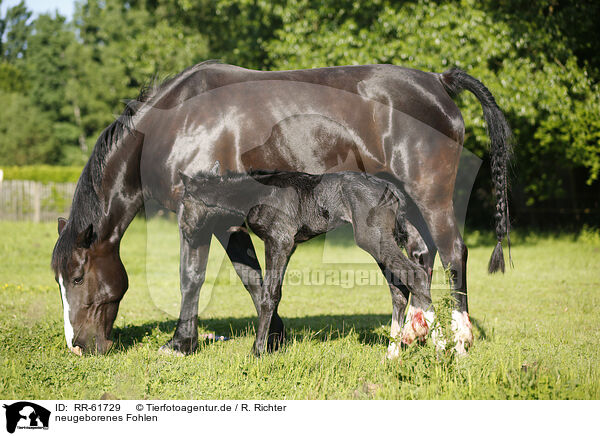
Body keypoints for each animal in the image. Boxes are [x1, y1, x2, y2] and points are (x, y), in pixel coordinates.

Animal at [178, 169, 432, 356]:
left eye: (184, 203)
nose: (185, 230)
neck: (257, 193)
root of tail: (393, 190)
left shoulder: (278, 240)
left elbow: (268, 295)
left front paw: (258, 351)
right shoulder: (289, 246)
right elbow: (273, 292)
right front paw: (273, 345)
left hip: (373, 239)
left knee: (417, 276)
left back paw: (435, 347)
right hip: (383, 242)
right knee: (399, 289)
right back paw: (392, 354)